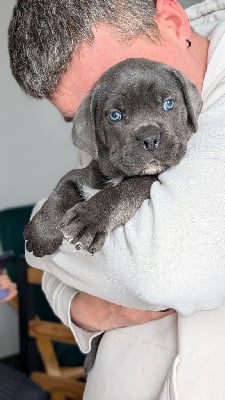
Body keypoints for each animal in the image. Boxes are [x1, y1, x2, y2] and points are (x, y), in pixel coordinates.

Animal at [23, 57, 201, 260]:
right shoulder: (80, 174)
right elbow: (62, 190)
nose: (149, 138)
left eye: (168, 104)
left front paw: (89, 218)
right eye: (115, 116)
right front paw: (42, 231)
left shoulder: (147, 181)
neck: (116, 175)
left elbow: (122, 191)